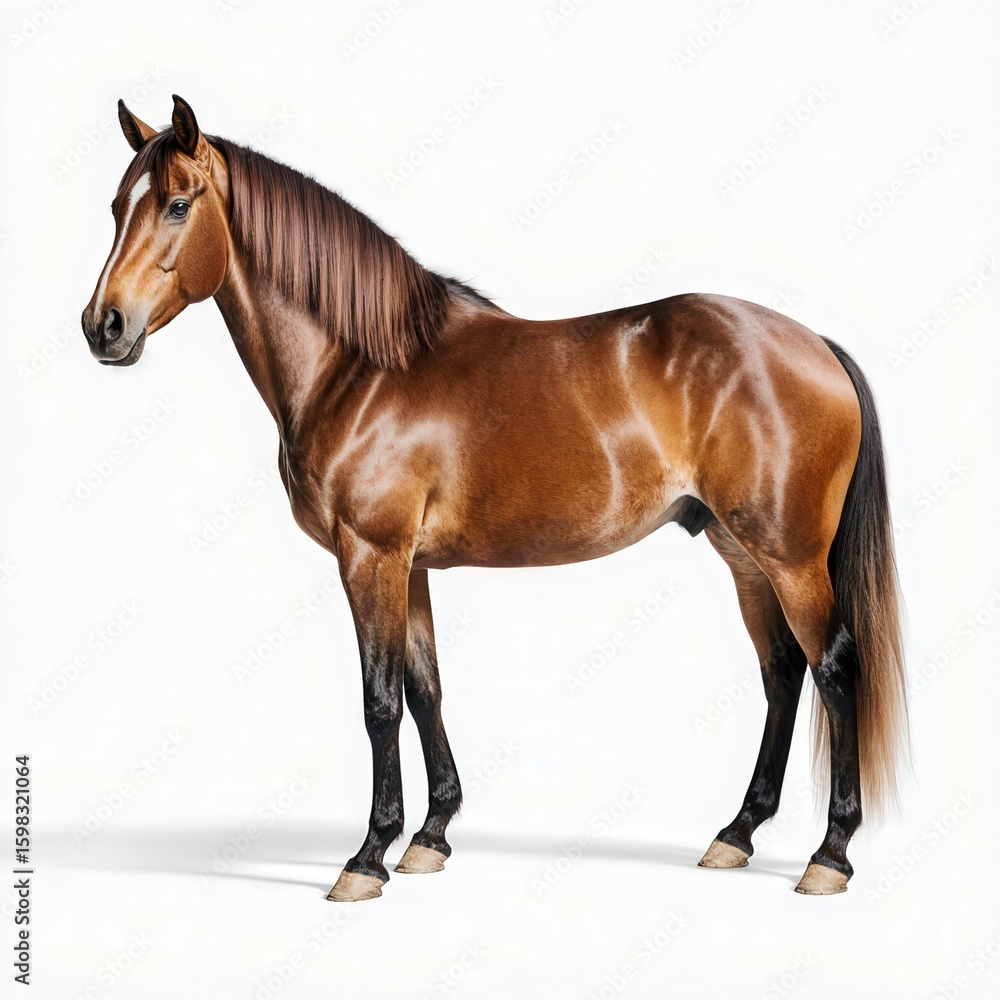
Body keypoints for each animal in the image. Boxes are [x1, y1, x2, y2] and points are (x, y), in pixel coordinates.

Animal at [81, 96, 907, 901]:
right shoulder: (408, 566)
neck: (363, 369)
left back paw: (829, 854)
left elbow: (380, 701)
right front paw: (430, 837)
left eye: (178, 204)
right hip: (741, 552)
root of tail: (816, 345)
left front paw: (367, 857)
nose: (103, 326)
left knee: (834, 668)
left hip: (790, 556)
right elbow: (425, 690)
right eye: (118, 205)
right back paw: (737, 833)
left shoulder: (369, 556)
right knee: (782, 672)